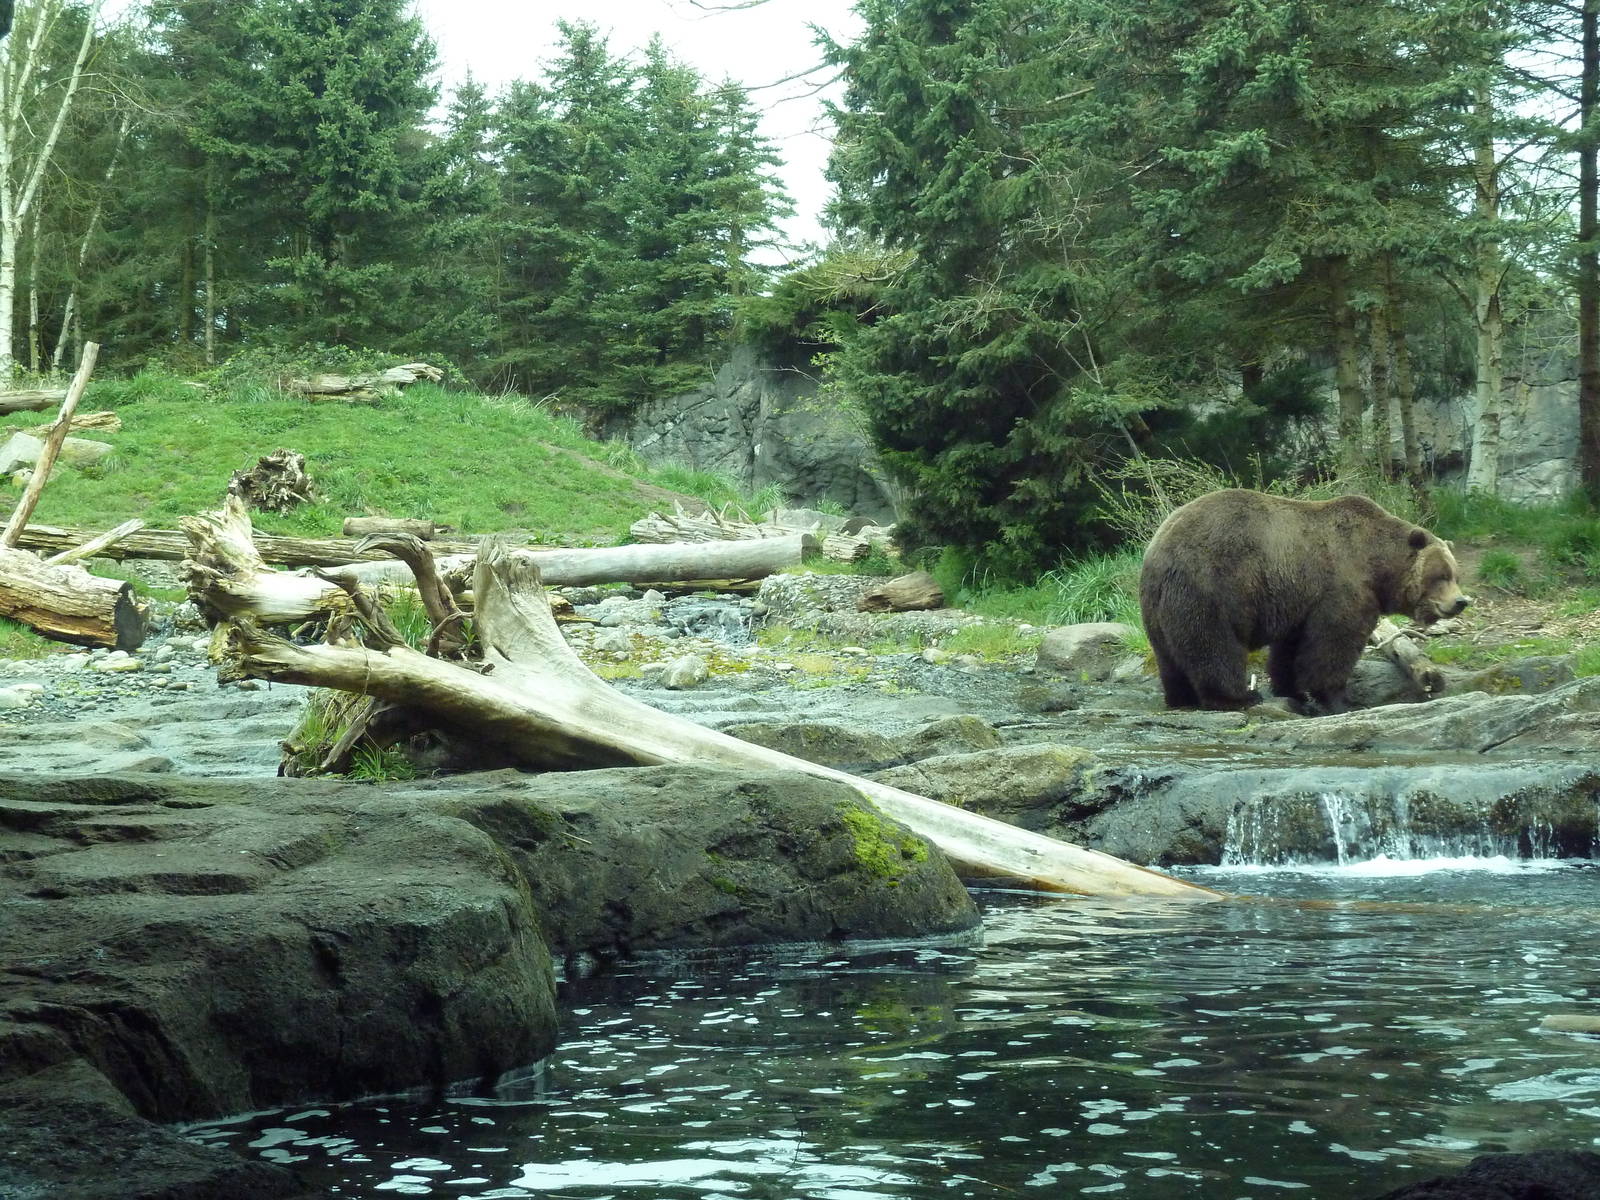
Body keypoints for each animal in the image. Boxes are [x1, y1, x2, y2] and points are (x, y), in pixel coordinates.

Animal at [1138, 489, 1469, 714]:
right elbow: (1332, 645)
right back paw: (1238, 697)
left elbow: (1290, 649)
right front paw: (1340, 700)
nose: (1460, 602)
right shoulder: (1342, 587)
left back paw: (1180, 697)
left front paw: (1292, 690)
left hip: (1157, 607)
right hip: (1211, 586)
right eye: (1440, 575)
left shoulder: (1298, 599)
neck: (1377, 566)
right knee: (1214, 645)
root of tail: (1159, 548)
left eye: (1455, 574)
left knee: (1169, 654)